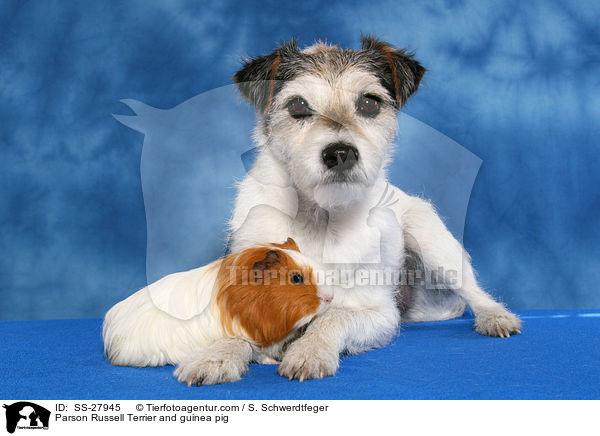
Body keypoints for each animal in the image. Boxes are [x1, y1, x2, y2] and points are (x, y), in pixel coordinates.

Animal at [225, 35, 520, 382]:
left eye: (369, 103)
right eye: (298, 105)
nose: (340, 153)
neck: (320, 216)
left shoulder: (378, 313)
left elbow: (334, 317)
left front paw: (310, 350)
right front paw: (215, 356)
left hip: (433, 242)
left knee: (473, 290)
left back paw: (496, 317)